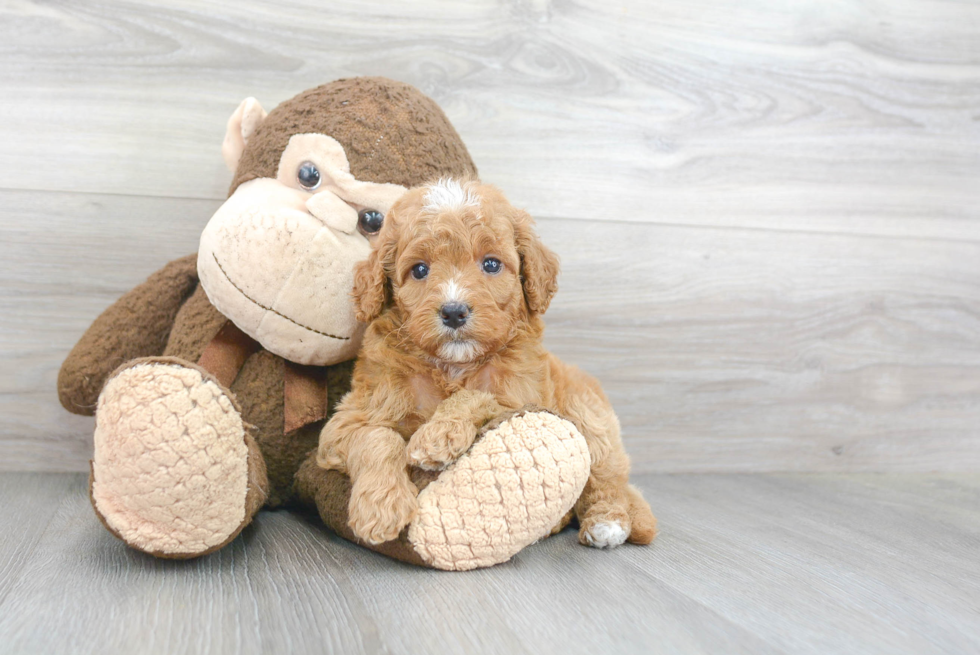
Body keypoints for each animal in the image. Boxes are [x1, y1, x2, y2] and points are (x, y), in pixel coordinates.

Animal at [320, 178, 660, 548]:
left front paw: (438, 434)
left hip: (589, 417)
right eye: (420, 270)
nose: (454, 312)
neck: (453, 365)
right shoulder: (345, 422)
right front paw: (381, 506)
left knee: (605, 478)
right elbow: (377, 437)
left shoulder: (521, 399)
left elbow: (476, 396)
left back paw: (607, 523)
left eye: (492, 265)